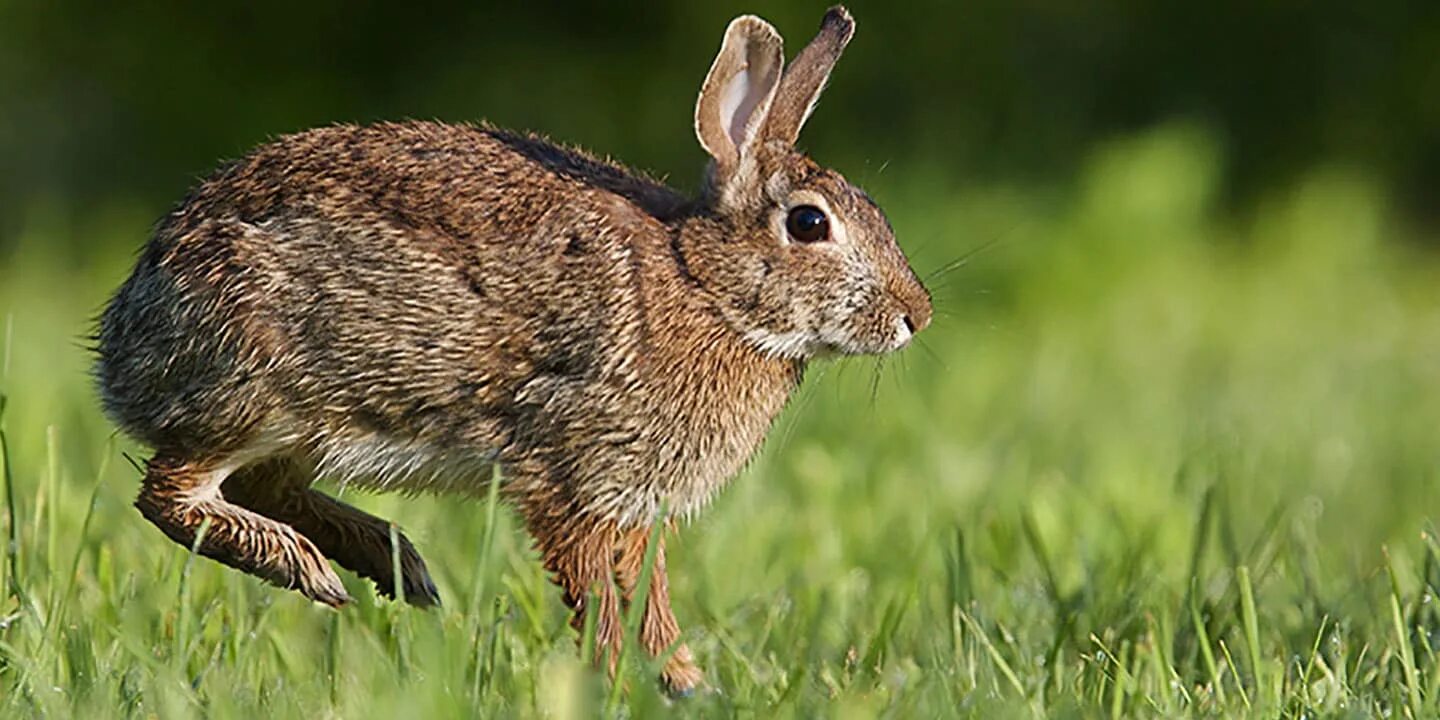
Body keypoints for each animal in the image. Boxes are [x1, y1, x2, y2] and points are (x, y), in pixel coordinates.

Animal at [98, 4, 933, 691]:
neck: (705, 286)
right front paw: (625, 683)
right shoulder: (573, 476)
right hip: (260, 387)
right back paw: (312, 569)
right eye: (810, 224)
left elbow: (650, 599)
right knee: (171, 494)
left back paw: (396, 566)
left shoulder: (636, 505)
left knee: (259, 486)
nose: (915, 316)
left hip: (303, 427)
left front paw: (684, 684)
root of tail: (124, 336)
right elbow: (601, 597)